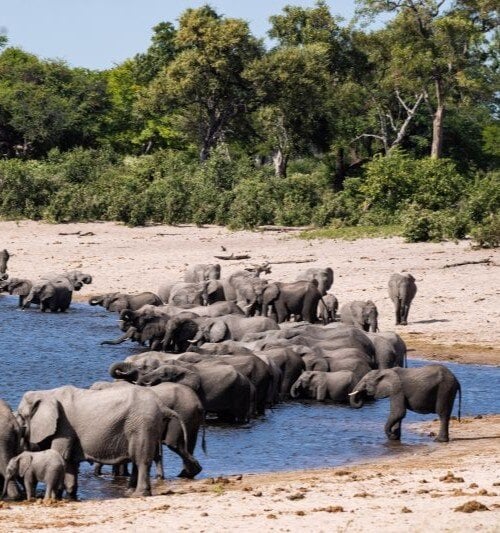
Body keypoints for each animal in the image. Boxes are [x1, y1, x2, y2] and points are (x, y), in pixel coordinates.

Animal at [17, 384, 188, 496]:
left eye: (20, 416)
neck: (47, 393)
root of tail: (162, 405)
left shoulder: (64, 427)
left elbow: (61, 456)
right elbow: (70, 462)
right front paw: (70, 496)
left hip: (143, 424)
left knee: (141, 459)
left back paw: (138, 494)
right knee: (136, 458)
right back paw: (129, 491)